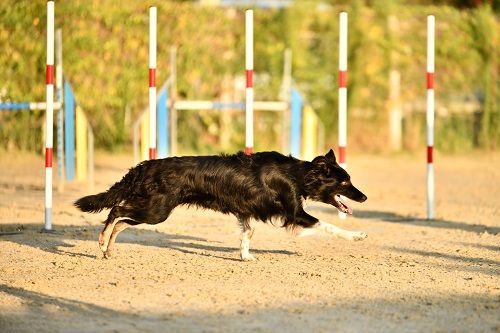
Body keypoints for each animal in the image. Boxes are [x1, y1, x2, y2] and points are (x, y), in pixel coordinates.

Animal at [76, 149, 370, 260]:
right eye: (345, 182)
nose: (365, 197)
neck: (297, 174)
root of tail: (145, 166)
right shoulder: (294, 212)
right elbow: (327, 225)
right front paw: (357, 235)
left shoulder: (247, 211)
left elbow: (248, 233)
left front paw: (245, 256)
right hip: (156, 210)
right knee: (117, 211)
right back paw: (102, 242)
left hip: (152, 209)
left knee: (121, 220)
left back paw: (108, 249)